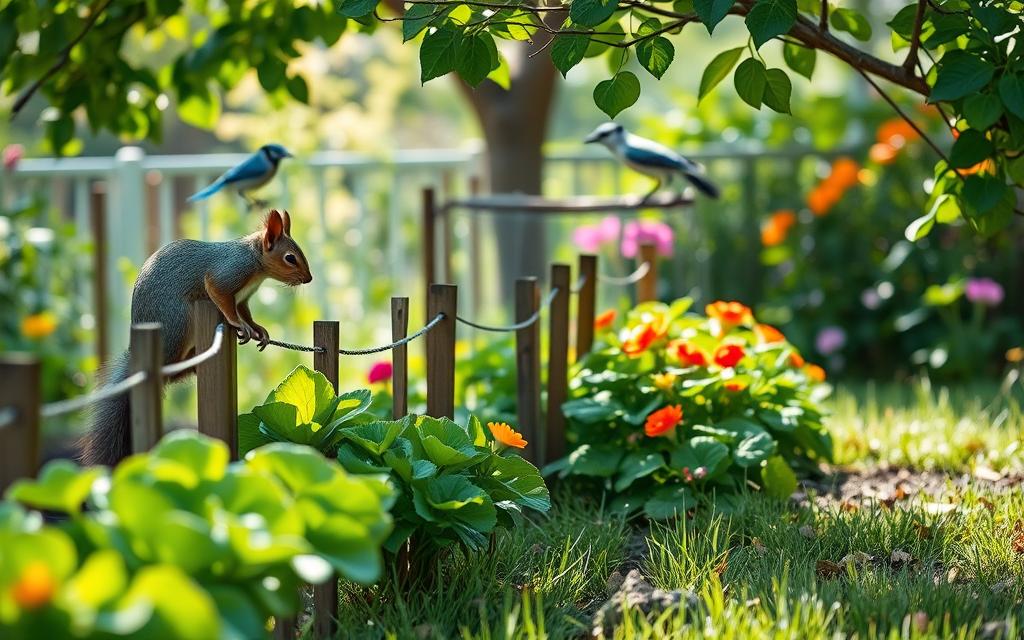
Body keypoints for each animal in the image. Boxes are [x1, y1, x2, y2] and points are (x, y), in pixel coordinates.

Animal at [79, 209, 313, 466]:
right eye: (290, 258)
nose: (309, 278)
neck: (255, 261)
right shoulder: (227, 274)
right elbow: (223, 299)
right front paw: (238, 325)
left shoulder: (243, 298)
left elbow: (245, 312)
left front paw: (258, 330)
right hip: (180, 323)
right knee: (170, 371)